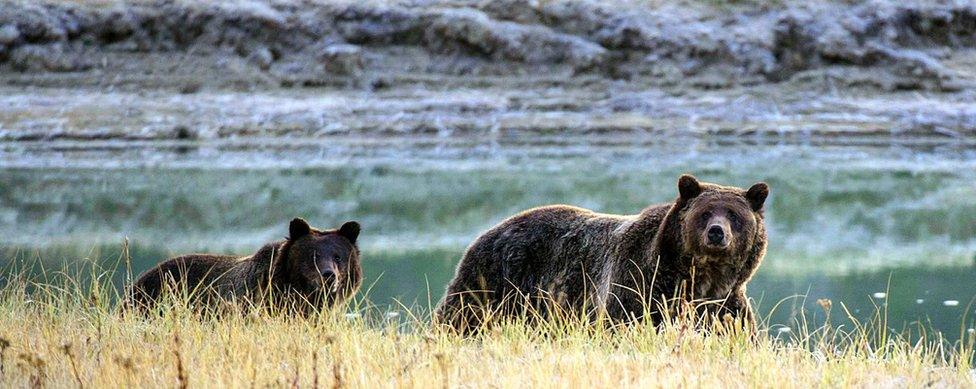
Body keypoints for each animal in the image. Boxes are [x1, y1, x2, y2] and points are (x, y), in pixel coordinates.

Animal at [436, 174, 772, 332]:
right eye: (705, 213)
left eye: (734, 215)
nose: (716, 232)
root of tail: (487, 231)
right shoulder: (638, 285)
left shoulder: (725, 305)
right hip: (495, 281)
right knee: (461, 317)